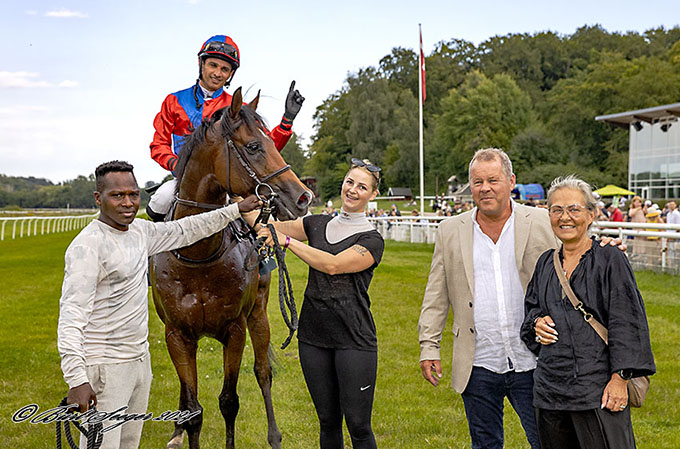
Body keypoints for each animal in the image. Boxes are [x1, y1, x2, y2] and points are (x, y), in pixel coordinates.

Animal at [150, 87, 312, 448]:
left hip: (260, 313)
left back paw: (274, 436)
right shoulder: (176, 334)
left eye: (271, 141)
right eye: (253, 146)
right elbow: (193, 408)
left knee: (263, 372)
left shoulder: (234, 329)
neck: (197, 255)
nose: (304, 197)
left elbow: (229, 401)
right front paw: (182, 429)